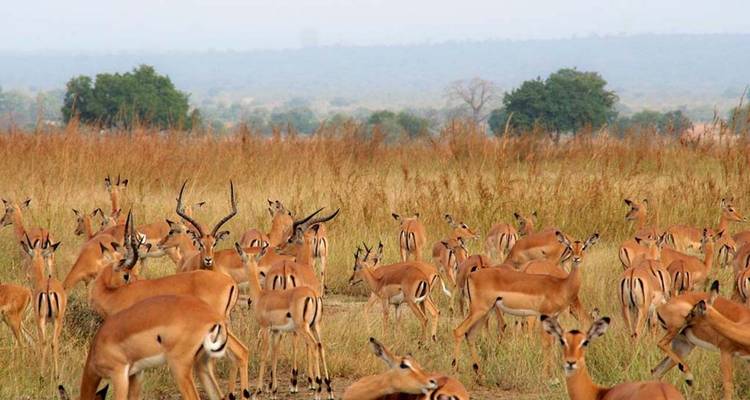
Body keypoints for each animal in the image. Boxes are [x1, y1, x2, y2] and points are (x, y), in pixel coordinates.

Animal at [21, 235, 66, 378]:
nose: (27, 275)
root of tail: (47, 289)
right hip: (53, 320)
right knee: (52, 342)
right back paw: (53, 375)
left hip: (43, 319)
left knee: (46, 342)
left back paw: (43, 375)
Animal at [59, 295, 230, 400]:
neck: (97, 347)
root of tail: (214, 318)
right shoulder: (136, 374)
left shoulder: (119, 374)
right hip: (203, 365)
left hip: (179, 368)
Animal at [235, 243, 333, 400]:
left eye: (243, 259)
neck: (261, 296)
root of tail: (312, 294)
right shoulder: (276, 331)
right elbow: (274, 354)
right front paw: (273, 391)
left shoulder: (265, 328)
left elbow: (264, 354)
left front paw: (258, 391)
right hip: (315, 326)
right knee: (320, 346)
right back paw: (328, 390)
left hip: (303, 328)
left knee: (313, 345)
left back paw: (317, 388)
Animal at [452, 232, 599, 375]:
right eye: (570, 247)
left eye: (584, 247)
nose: (576, 258)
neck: (562, 285)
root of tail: (471, 274)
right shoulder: (545, 315)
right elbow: (546, 343)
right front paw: (546, 374)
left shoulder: (555, 316)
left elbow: (554, 341)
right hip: (479, 310)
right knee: (458, 331)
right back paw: (455, 368)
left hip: (485, 312)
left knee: (470, 335)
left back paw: (479, 372)